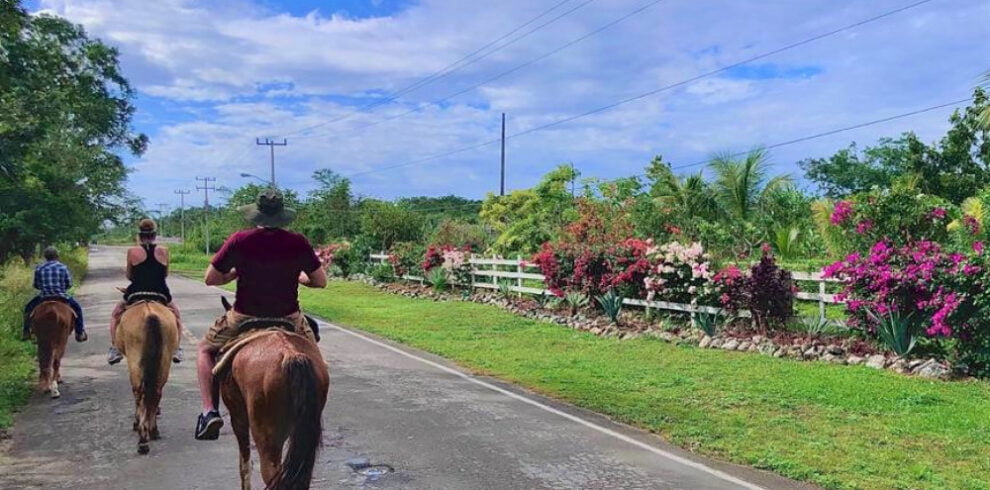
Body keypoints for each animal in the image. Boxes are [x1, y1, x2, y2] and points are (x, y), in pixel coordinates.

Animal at [116, 298, 180, 456]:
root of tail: (150, 314)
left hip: (135, 359)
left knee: (139, 393)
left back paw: (143, 438)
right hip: (164, 359)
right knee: (156, 391)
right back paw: (152, 431)